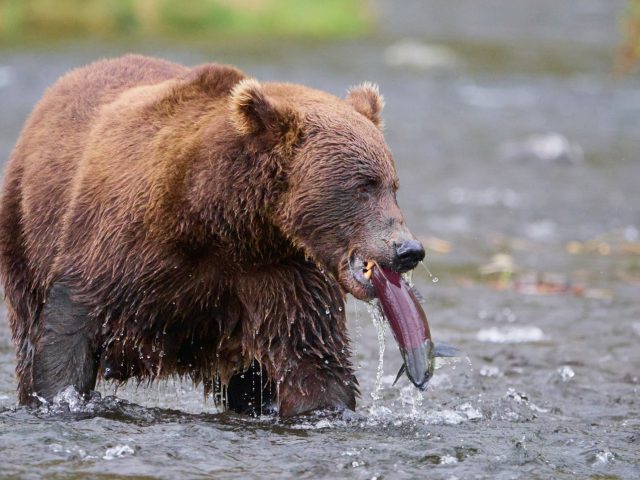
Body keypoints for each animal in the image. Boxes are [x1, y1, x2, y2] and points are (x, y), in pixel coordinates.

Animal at [0, 55, 425, 417]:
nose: (409, 249)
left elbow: (310, 357)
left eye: (393, 185)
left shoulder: (280, 274)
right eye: (363, 186)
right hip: (24, 231)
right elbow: (69, 326)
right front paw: (58, 397)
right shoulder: (119, 246)